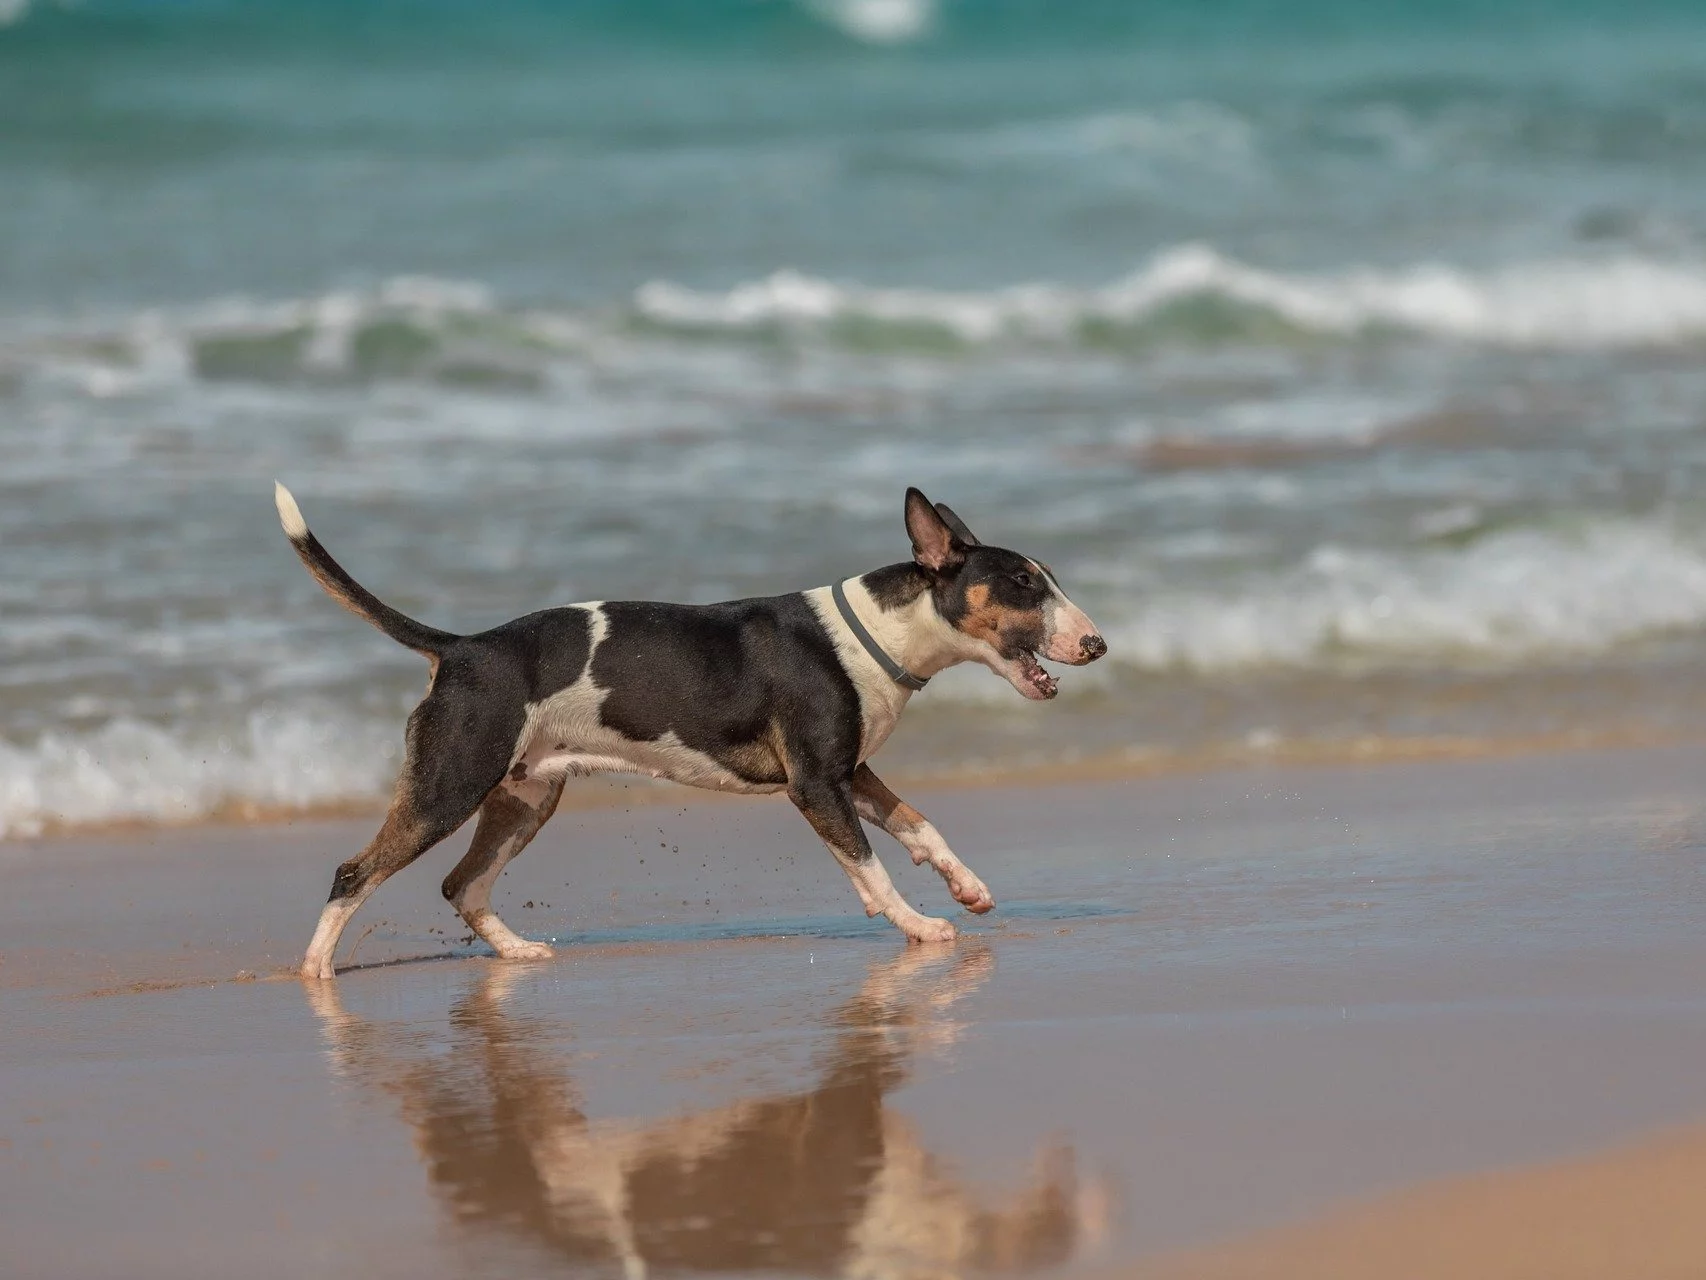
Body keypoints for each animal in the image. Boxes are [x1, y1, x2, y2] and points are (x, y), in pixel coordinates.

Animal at [271, 484, 1105, 983]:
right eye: (1023, 583)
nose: (1097, 645)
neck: (874, 633)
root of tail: (461, 647)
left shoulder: (851, 773)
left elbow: (920, 825)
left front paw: (968, 888)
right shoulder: (815, 784)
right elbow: (870, 868)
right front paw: (919, 925)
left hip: (526, 796)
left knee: (460, 883)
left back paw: (517, 952)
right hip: (452, 782)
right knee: (356, 871)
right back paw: (315, 972)